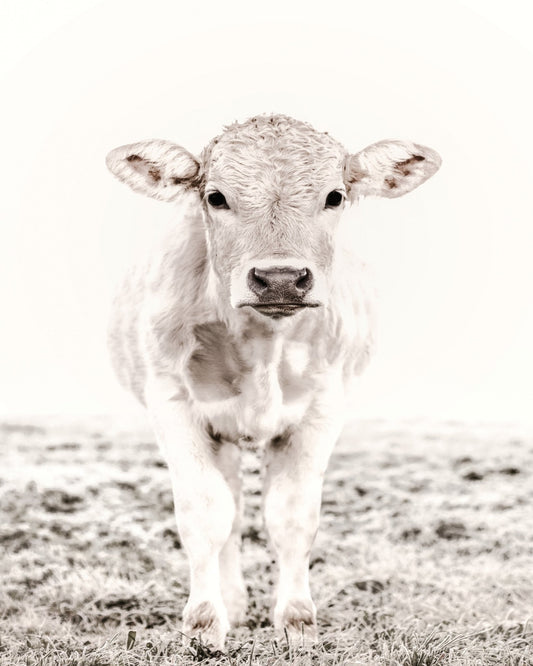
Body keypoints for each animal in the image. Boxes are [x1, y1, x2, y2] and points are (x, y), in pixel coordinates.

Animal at [105, 114, 441, 649]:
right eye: (215, 197)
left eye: (335, 196)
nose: (280, 278)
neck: (263, 344)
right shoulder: (172, 404)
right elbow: (205, 514)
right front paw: (205, 621)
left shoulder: (323, 409)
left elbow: (292, 516)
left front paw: (297, 621)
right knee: (230, 512)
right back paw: (233, 602)